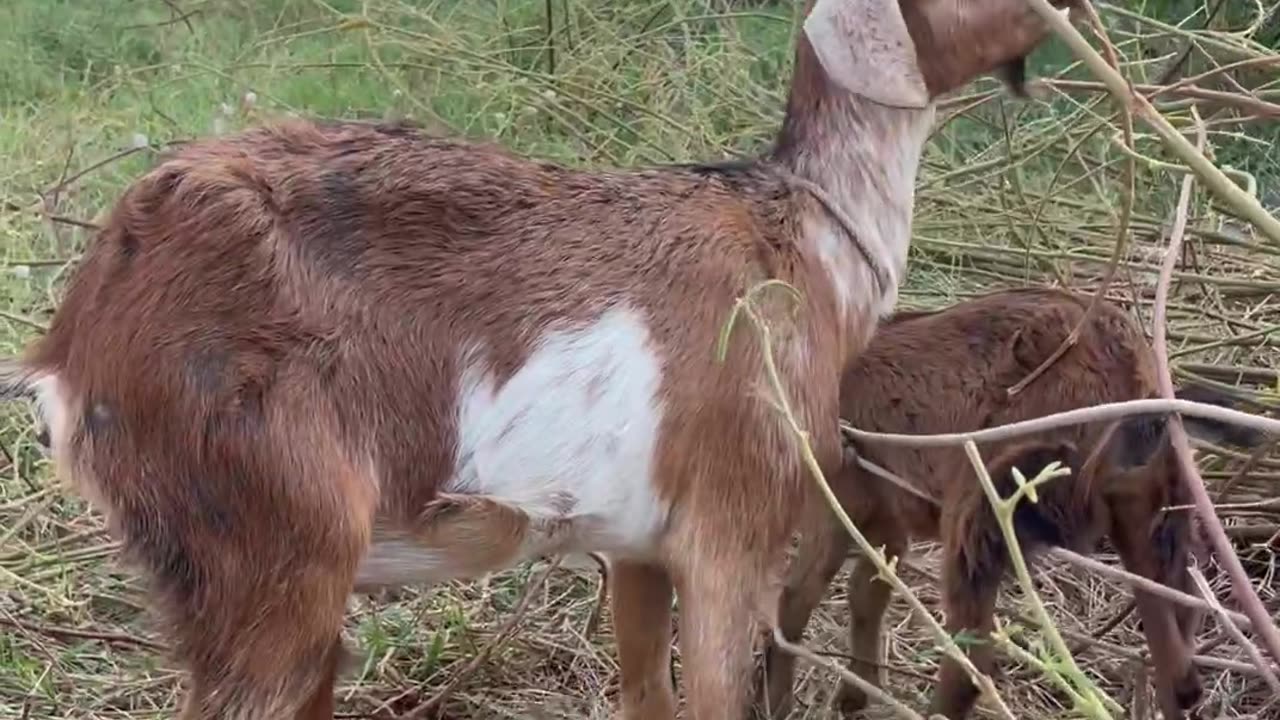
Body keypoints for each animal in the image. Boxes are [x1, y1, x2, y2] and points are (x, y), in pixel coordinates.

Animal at [0, 2, 1070, 712]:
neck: (804, 242)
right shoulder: (733, 526)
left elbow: (648, 695)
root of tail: (72, 345)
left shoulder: (638, 542)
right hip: (270, 536)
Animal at [757, 285, 1259, 717]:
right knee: (1177, 642)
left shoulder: (842, 494)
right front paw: (856, 696)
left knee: (969, 660)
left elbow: (798, 599)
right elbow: (868, 588)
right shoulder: (887, 513)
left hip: (990, 496)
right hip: (1154, 510)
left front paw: (780, 702)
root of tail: (1136, 389)